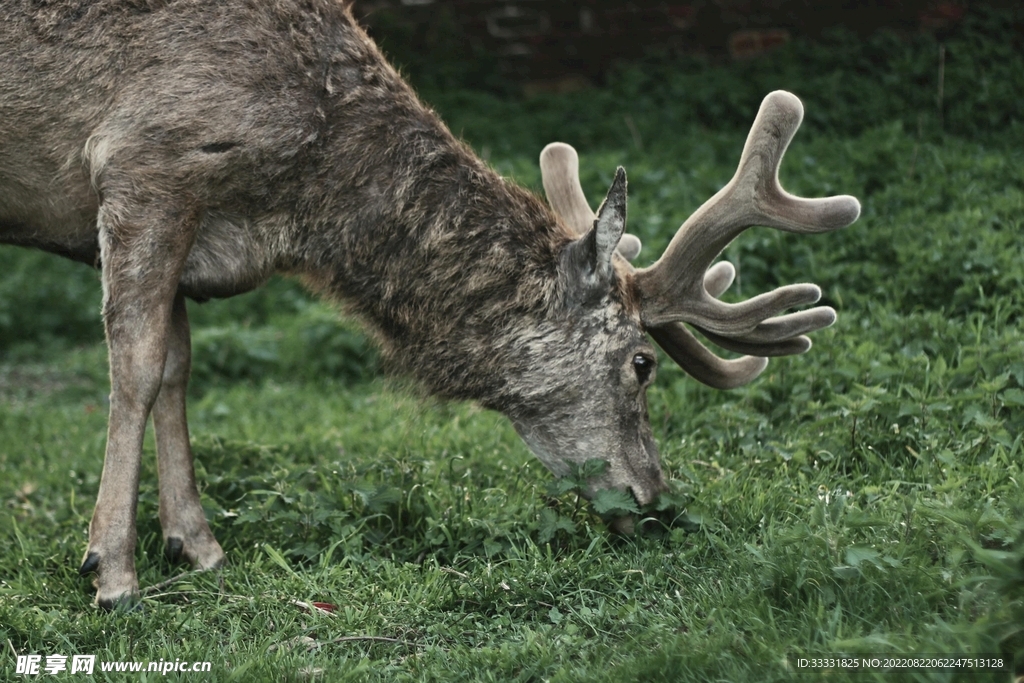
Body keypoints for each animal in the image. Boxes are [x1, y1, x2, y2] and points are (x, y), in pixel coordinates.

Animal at [0, 0, 860, 608]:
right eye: (642, 362)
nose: (654, 498)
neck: (296, 202)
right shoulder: (146, 165)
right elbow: (137, 368)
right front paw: (113, 572)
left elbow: (178, 366)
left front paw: (197, 546)